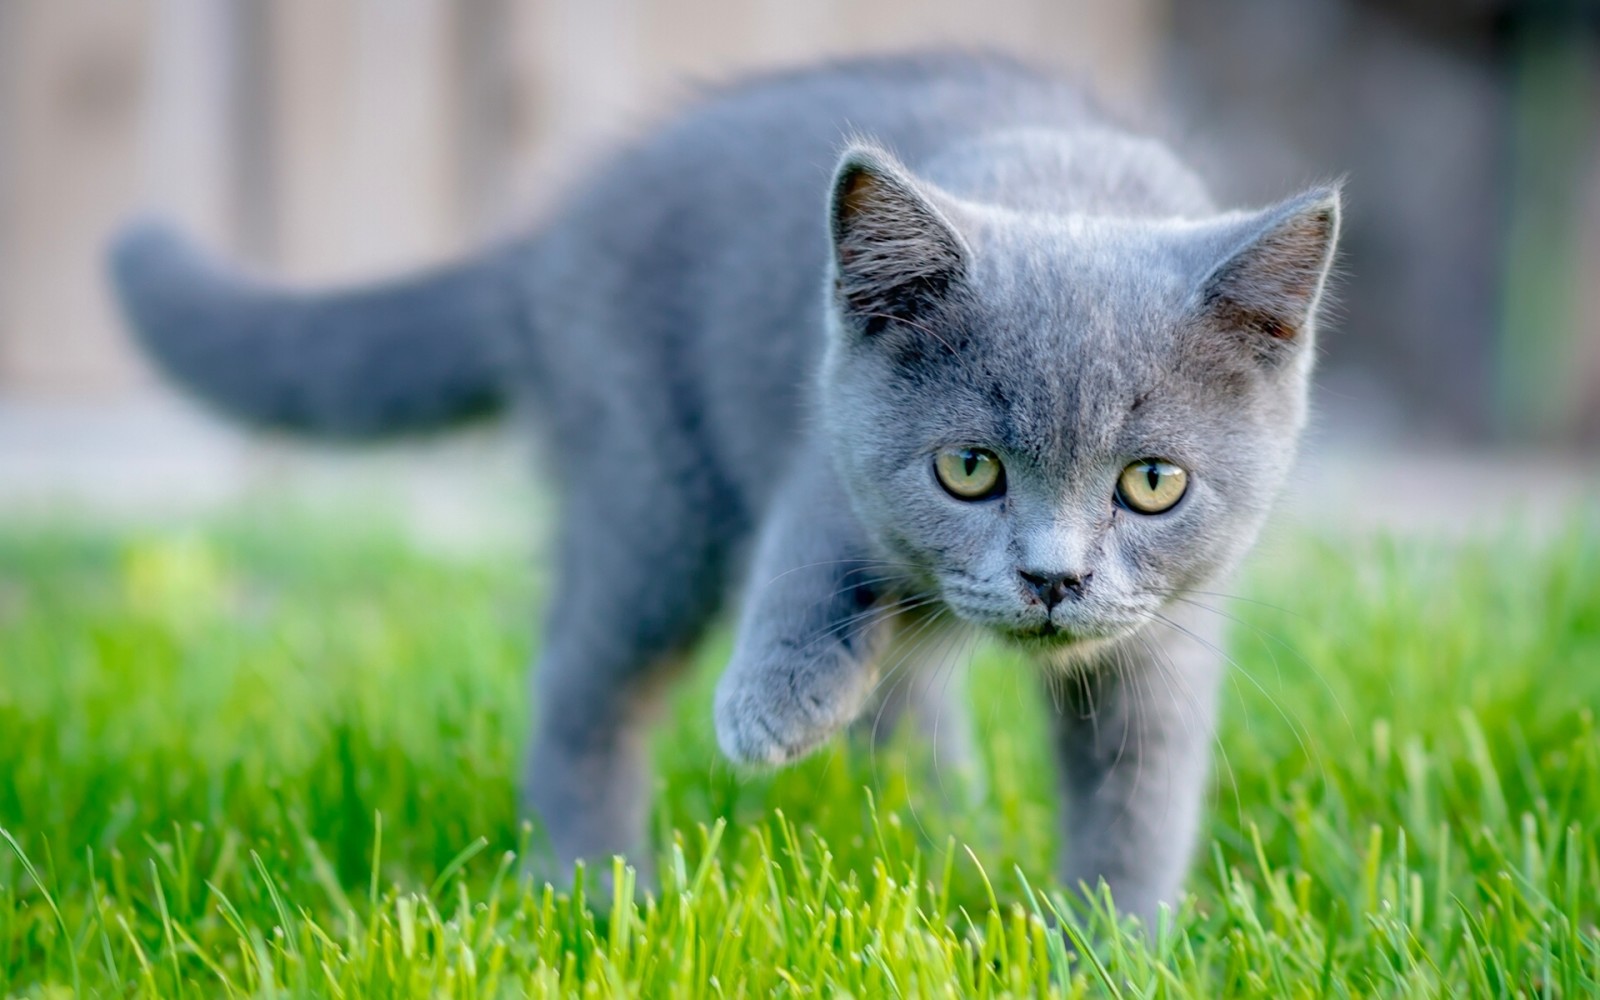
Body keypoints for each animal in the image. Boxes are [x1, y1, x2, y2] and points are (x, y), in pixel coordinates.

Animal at [109, 50, 1337, 915]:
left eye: (1152, 484)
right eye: (968, 468)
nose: (1053, 579)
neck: (1066, 181)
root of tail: (548, 242)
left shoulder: (1164, 632)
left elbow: (1141, 786)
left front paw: (1110, 946)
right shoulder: (822, 443)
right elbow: (803, 556)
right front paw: (772, 707)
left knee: (906, 707)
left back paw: (934, 839)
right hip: (649, 490)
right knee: (584, 686)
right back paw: (599, 894)